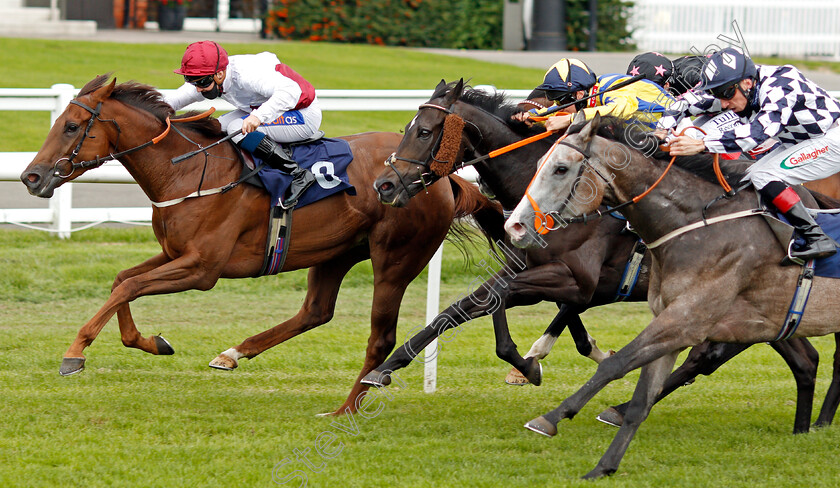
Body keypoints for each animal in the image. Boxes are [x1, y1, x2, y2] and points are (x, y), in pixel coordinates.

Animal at [19, 74, 502, 414]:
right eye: (59, 122)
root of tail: (442, 178)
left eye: (72, 126)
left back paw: (346, 408)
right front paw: (151, 341)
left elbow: (128, 287)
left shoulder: (201, 269)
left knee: (379, 336)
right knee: (315, 312)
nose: (31, 177)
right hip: (337, 251)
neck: (186, 171)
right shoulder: (176, 254)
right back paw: (233, 353)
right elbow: (123, 280)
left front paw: (74, 353)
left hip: (396, 258)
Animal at [362, 81, 820, 434]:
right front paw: (386, 368)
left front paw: (530, 364)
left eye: (424, 131)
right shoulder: (540, 270)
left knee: (713, 355)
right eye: (407, 128)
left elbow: (491, 302)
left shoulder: (576, 279)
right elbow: (476, 305)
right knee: (797, 357)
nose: (385, 185)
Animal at [502, 113, 840, 476]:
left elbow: (614, 364)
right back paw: (807, 428)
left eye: (561, 169)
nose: (515, 226)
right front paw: (604, 465)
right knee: (806, 361)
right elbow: (641, 398)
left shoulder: (685, 320)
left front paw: (551, 417)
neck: (700, 225)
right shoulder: (672, 322)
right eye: (539, 163)